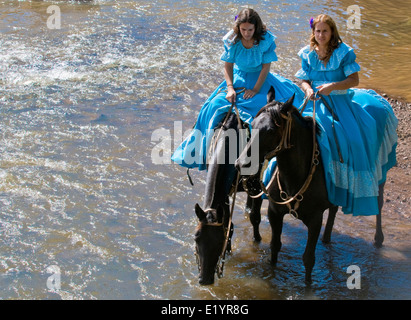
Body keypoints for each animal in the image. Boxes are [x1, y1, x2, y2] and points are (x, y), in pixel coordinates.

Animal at [194, 110, 264, 284]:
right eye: (196, 238)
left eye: (219, 241)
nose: (205, 280)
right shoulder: (223, 196)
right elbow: (228, 225)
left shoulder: (256, 185)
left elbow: (254, 218)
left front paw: (256, 240)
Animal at [237, 87, 388, 282]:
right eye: (252, 124)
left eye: (270, 130)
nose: (241, 163)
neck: (295, 176)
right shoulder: (274, 212)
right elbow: (275, 246)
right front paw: (271, 276)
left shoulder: (315, 219)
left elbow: (308, 258)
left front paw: (308, 285)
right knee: (334, 208)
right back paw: (327, 237)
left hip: (380, 177)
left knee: (379, 205)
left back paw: (378, 238)